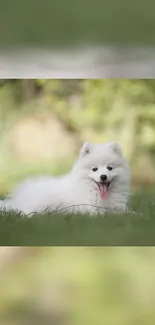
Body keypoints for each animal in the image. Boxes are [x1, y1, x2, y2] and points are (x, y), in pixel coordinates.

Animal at [0, 141, 130, 215]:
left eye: (110, 168)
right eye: (94, 169)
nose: (103, 176)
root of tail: (18, 198)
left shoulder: (118, 208)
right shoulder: (88, 207)